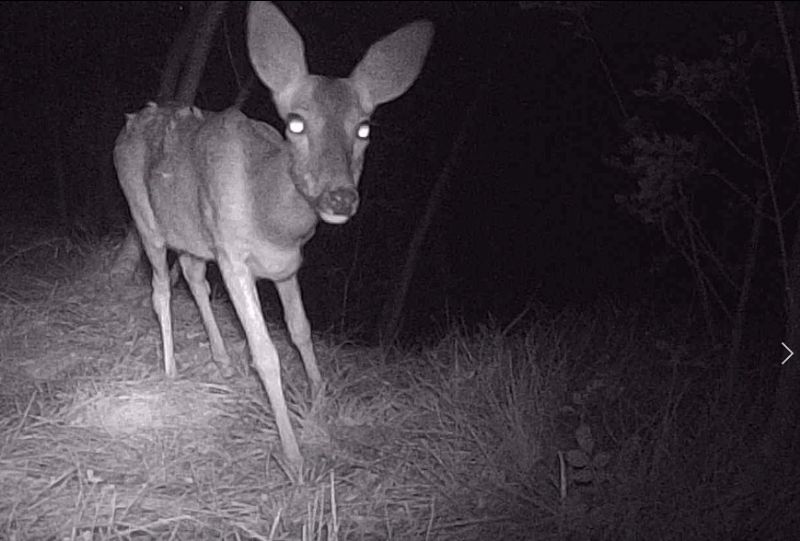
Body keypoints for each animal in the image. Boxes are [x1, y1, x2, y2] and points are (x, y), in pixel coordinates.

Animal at [112, 1, 432, 468]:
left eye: (364, 128)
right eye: (295, 124)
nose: (340, 198)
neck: (270, 217)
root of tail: (129, 122)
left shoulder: (286, 265)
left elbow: (300, 329)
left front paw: (321, 398)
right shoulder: (233, 255)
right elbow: (265, 352)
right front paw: (293, 455)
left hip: (193, 233)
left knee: (192, 276)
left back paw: (223, 360)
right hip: (144, 216)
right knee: (159, 288)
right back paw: (170, 369)